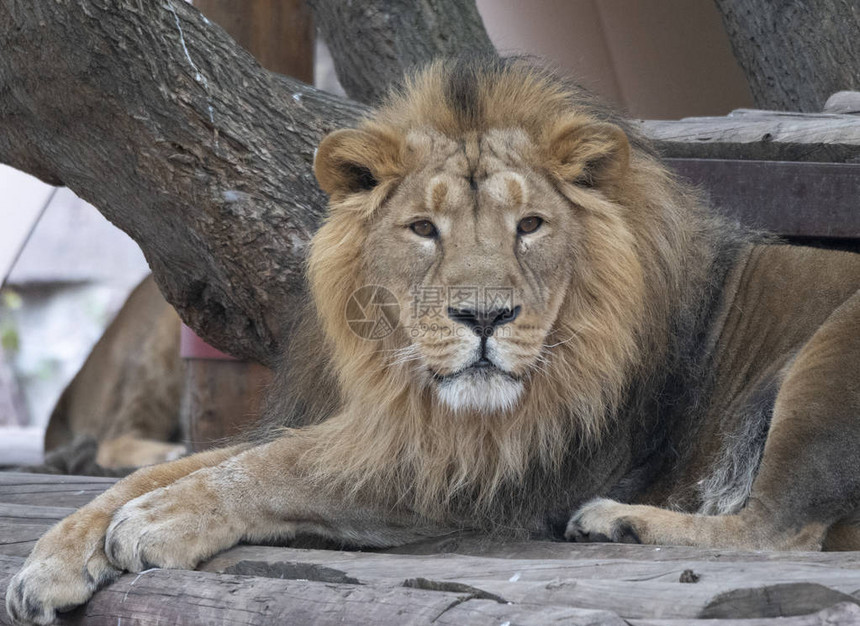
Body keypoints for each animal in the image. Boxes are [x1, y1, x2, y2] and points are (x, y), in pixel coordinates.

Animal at [6, 57, 860, 620]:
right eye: (424, 228)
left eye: (530, 225)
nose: (484, 317)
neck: (412, 387)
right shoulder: (368, 422)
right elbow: (182, 465)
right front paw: (55, 558)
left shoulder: (477, 471)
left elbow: (279, 470)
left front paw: (160, 523)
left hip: (829, 357)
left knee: (779, 533)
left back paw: (618, 519)